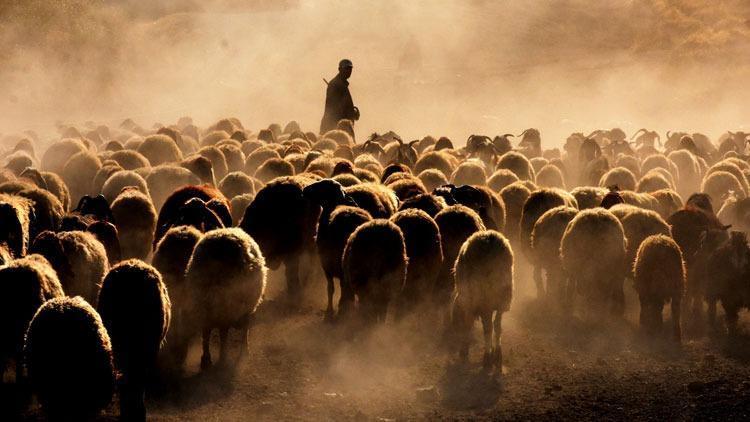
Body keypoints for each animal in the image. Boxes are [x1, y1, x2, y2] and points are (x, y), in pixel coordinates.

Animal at [185, 227, 268, 370]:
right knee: (225, 330)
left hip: (205, 303)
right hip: (225, 304)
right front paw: (232, 355)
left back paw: (208, 359)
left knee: (207, 331)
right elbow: (231, 332)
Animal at [452, 229, 516, 370]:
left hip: (483, 296)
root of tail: (488, 242)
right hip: (502, 295)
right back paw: (497, 355)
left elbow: (469, 324)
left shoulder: (470, 303)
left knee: (488, 327)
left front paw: (464, 351)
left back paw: (487, 358)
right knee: (497, 325)